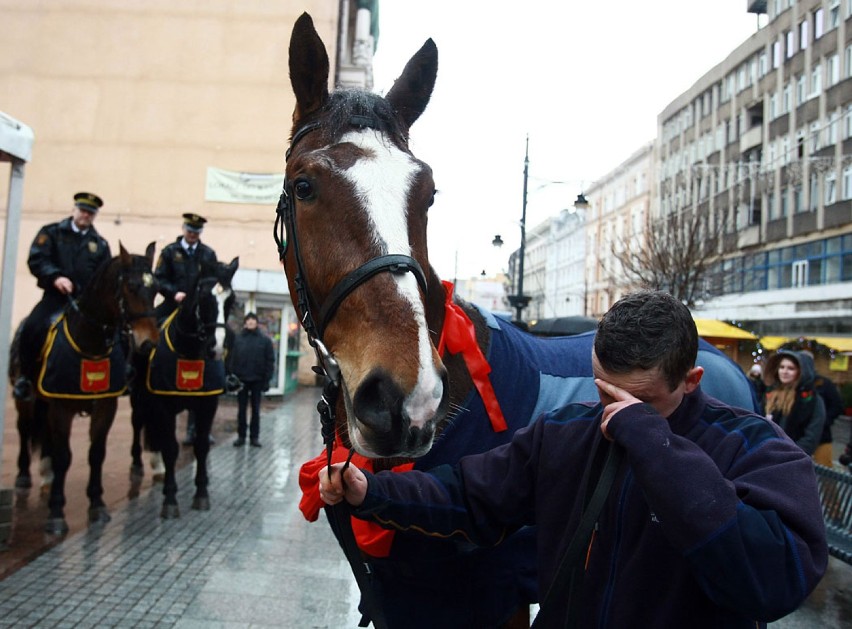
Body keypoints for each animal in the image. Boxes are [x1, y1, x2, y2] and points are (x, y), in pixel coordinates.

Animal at [9, 244, 160, 536]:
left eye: (156, 288)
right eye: (131, 286)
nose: (147, 343)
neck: (90, 345)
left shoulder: (105, 406)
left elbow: (96, 453)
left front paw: (97, 504)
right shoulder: (62, 406)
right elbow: (64, 456)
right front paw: (57, 513)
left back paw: (46, 472)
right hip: (26, 398)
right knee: (24, 428)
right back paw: (24, 475)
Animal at [128, 258, 240, 516]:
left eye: (231, 300)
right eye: (204, 296)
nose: (216, 347)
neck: (189, 351)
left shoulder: (208, 404)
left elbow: (201, 446)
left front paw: (201, 493)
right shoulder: (163, 405)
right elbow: (171, 448)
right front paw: (170, 498)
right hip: (139, 399)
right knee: (138, 424)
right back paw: (139, 465)